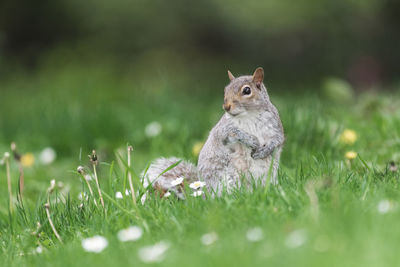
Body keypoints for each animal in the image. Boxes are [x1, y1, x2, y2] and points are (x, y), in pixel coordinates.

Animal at [141, 67, 284, 201]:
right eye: (225, 90)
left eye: (247, 90)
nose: (226, 106)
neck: (248, 115)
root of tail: (204, 194)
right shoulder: (224, 129)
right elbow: (233, 135)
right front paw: (250, 140)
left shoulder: (275, 127)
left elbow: (277, 141)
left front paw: (264, 151)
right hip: (228, 179)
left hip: (268, 176)